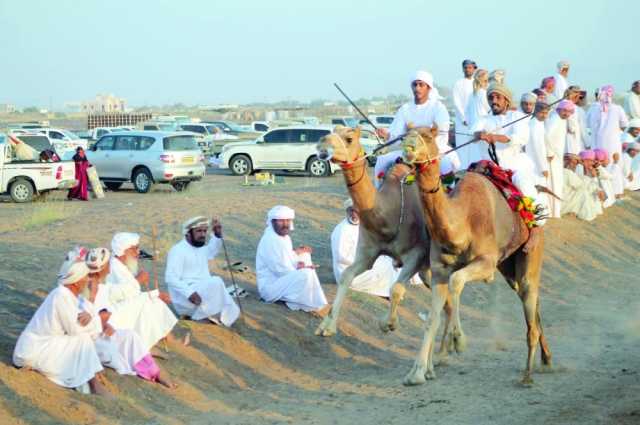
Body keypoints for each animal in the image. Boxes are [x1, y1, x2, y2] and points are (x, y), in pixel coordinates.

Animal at [314, 126, 452, 342]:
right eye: (334, 130)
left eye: (349, 138)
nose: (322, 144)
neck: (387, 213)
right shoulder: (367, 252)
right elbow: (346, 275)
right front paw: (327, 326)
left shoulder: (416, 254)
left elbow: (395, 289)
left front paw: (388, 323)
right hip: (428, 268)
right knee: (447, 301)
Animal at [400, 125, 552, 384]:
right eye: (404, 133)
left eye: (427, 135)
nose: (408, 147)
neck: (462, 222)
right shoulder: (439, 270)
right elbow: (432, 317)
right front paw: (417, 373)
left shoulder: (487, 263)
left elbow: (457, 281)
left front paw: (458, 340)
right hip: (508, 267)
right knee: (530, 299)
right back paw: (547, 359)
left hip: (529, 253)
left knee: (529, 292)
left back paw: (527, 375)